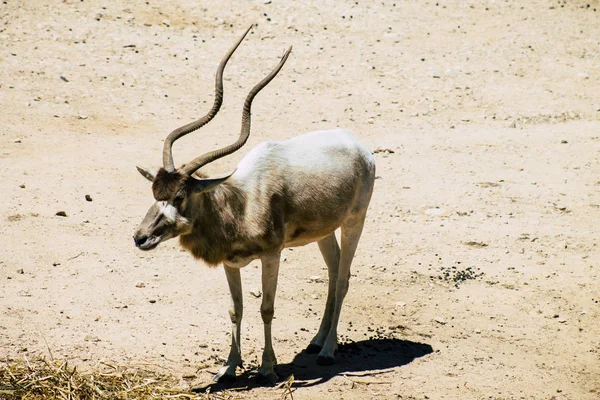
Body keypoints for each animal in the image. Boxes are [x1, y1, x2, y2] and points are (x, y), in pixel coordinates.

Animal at [135, 26, 376, 382]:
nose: (141, 238)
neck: (242, 202)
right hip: (324, 231)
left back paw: (328, 351)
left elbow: (266, 308)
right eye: (154, 193)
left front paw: (266, 367)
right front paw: (228, 367)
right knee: (333, 272)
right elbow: (236, 309)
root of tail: (358, 146)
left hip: (354, 221)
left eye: (180, 196)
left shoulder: (272, 255)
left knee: (344, 277)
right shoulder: (230, 263)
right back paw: (316, 341)